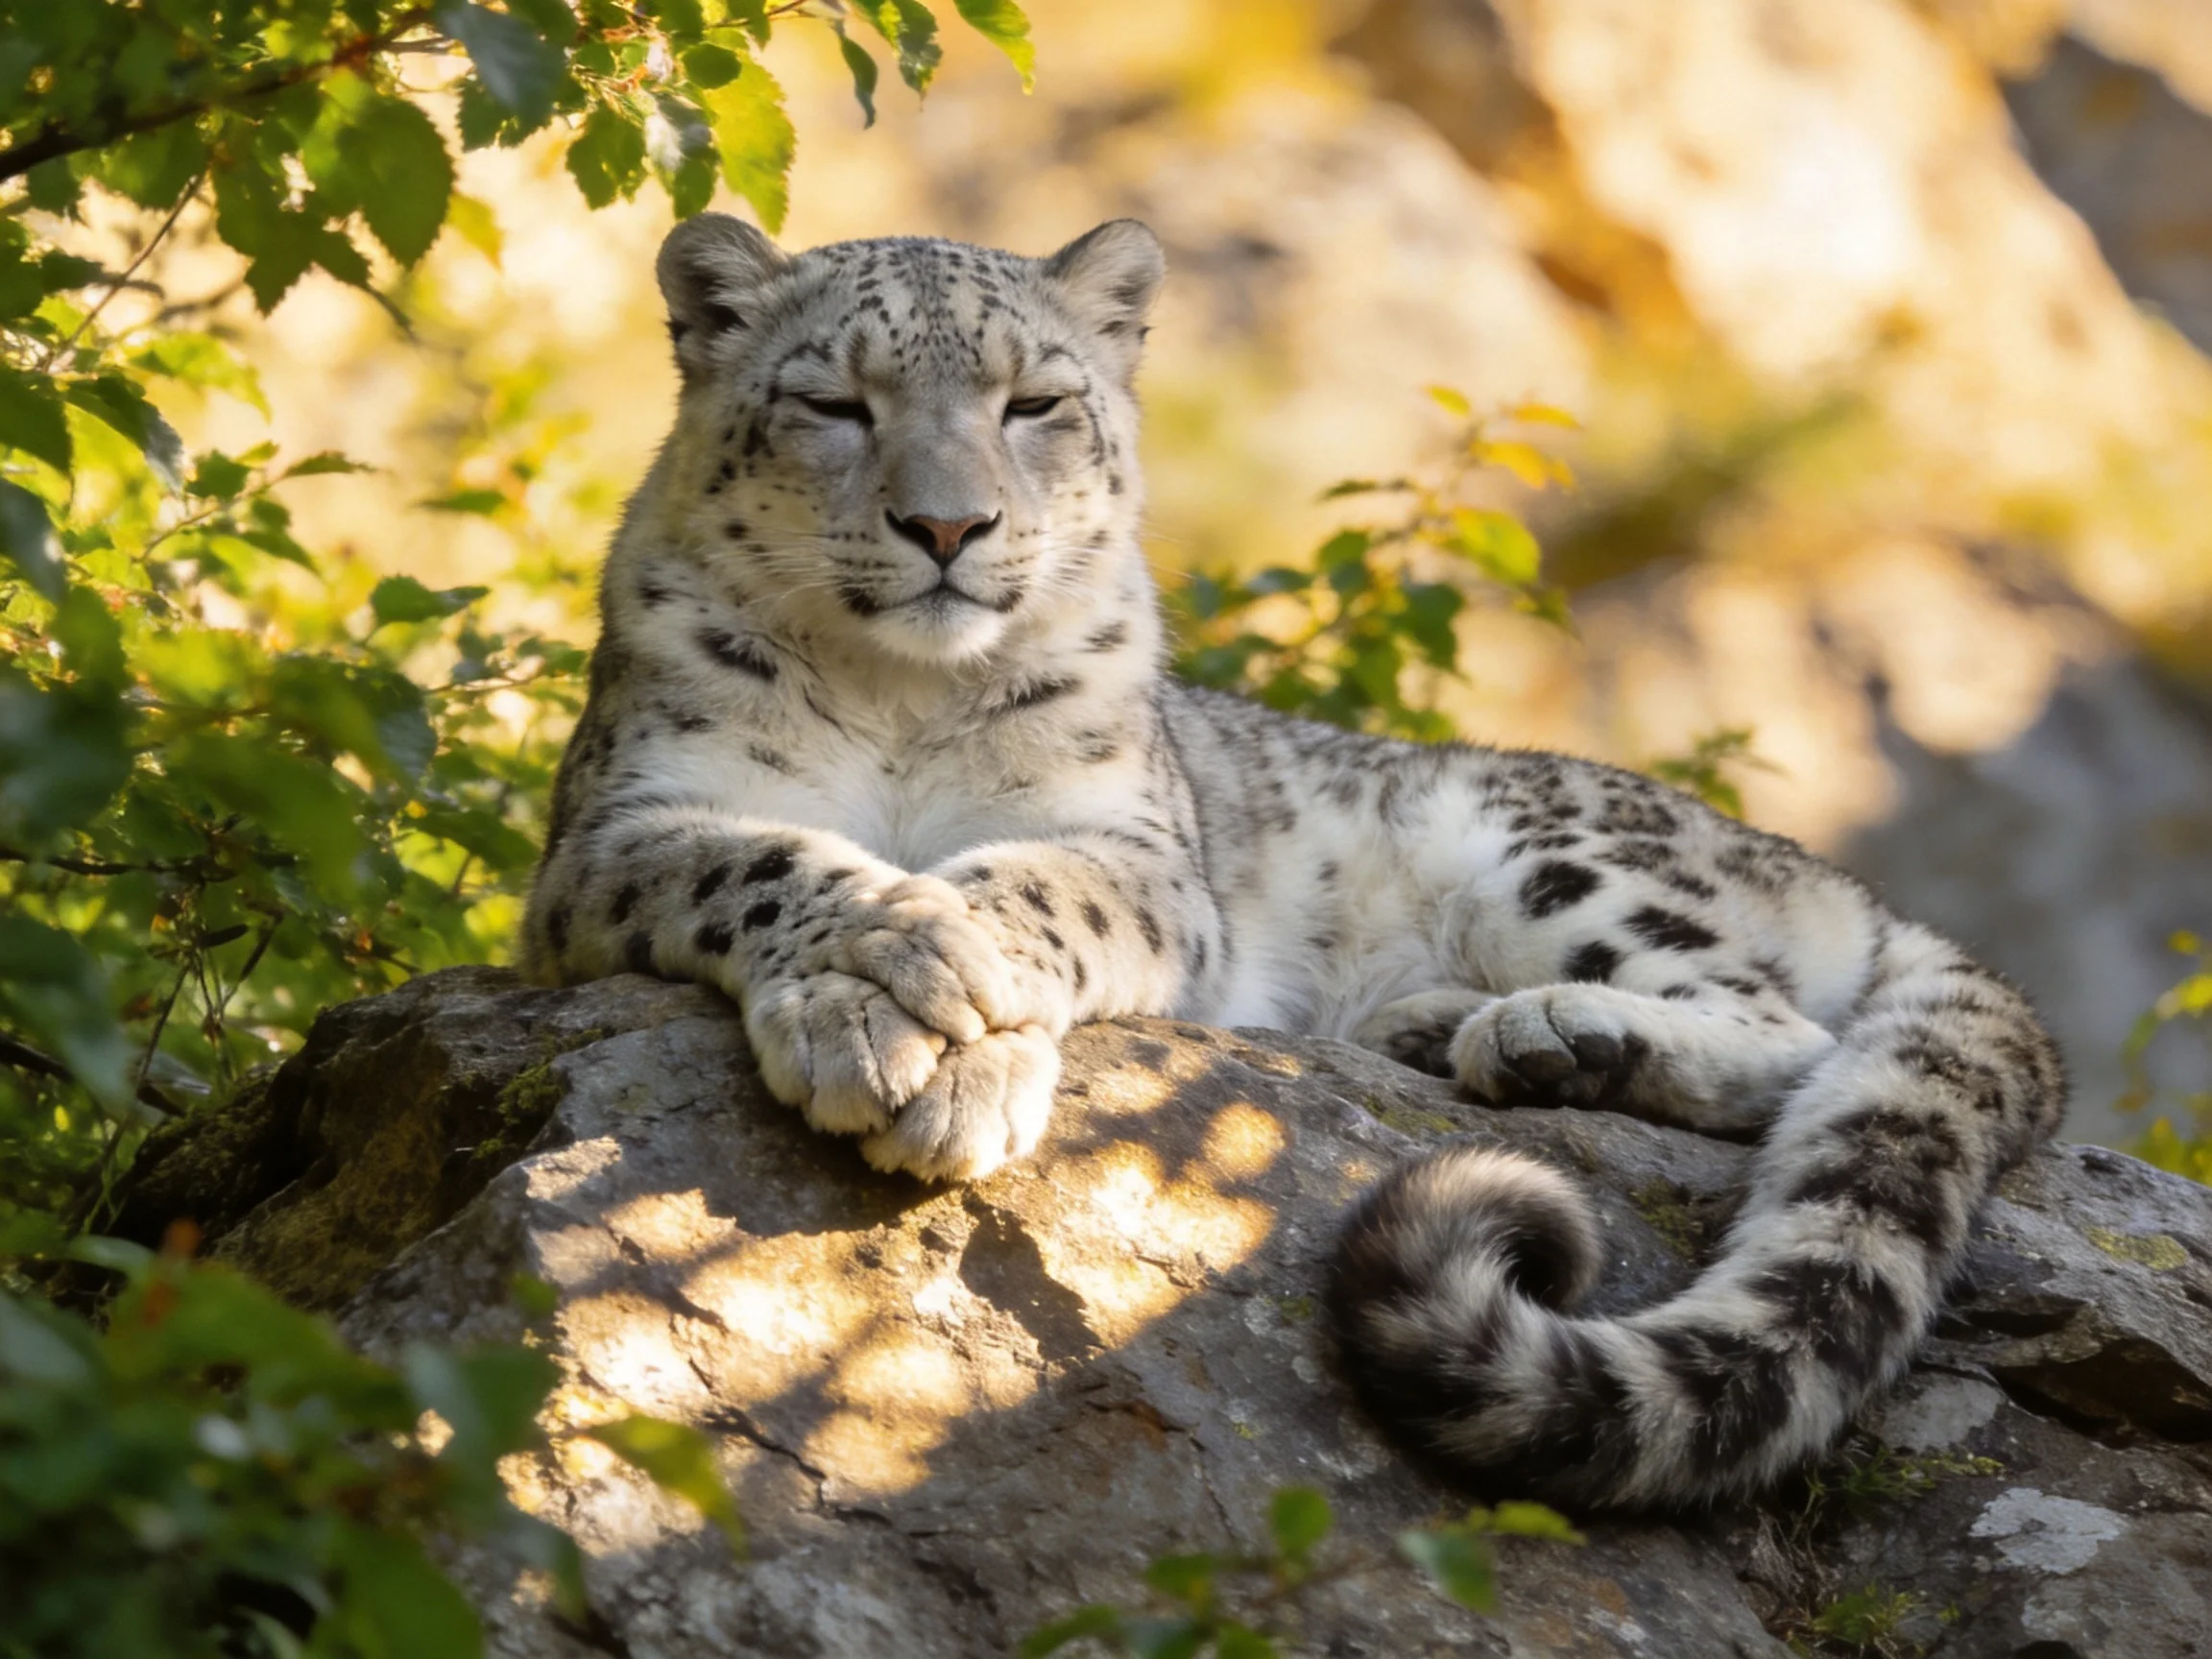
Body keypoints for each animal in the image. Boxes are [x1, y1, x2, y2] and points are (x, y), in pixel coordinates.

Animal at [521, 213, 2065, 1512]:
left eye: (1034, 404)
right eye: (835, 404)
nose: (948, 526)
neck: (904, 699)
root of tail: (1828, 877)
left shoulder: (1134, 847)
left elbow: (1032, 889)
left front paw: (948, 1031)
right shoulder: (626, 826)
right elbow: (770, 864)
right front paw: (886, 993)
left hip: (1542, 852)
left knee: (1787, 1030)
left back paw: (1549, 1031)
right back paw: (1448, 1030)